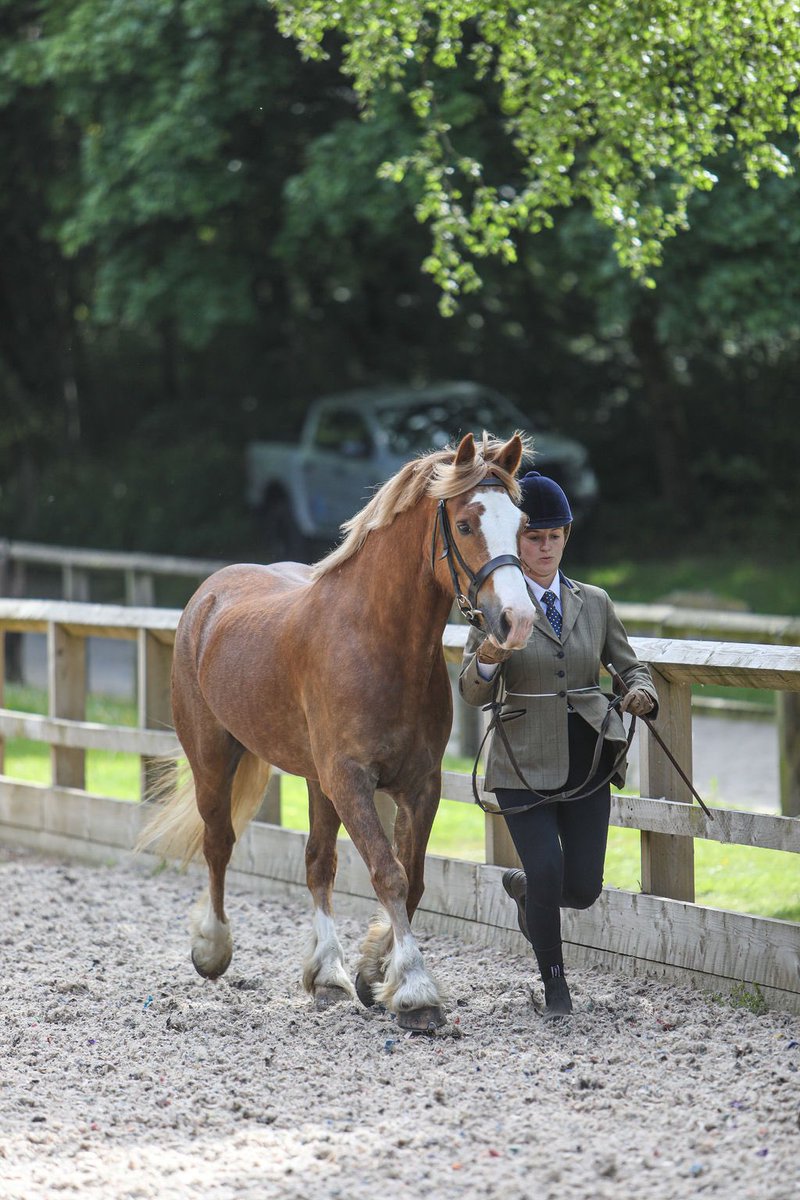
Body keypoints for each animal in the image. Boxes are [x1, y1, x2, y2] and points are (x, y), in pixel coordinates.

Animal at [138, 431, 536, 1030]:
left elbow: (412, 876)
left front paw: (375, 972)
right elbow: (388, 873)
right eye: (466, 524)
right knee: (219, 842)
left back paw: (327, 975)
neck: (377, 641)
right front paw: (416, 992)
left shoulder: (419, 785)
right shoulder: (350, 780)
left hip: (313, 780)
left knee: (317, 863)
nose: (518, 620)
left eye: (521, 522)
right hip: (213, 758)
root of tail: (209, 595)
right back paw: (213, 949)